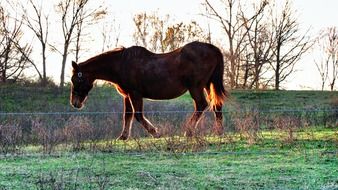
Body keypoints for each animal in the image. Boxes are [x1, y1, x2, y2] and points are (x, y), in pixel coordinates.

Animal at [70, 41, 230, 140]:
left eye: (76, 79)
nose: (75, 103)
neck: (121, 64)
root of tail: (213, 48)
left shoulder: (135, 94)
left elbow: (138, 116)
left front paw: (155, 132)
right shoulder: (127, 96)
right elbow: (127, 116)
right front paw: (123, 136)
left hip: (196, 87)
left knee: (201, 105)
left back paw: (189, 131)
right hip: (208, 85)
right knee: (216, 106)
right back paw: (219, 131)